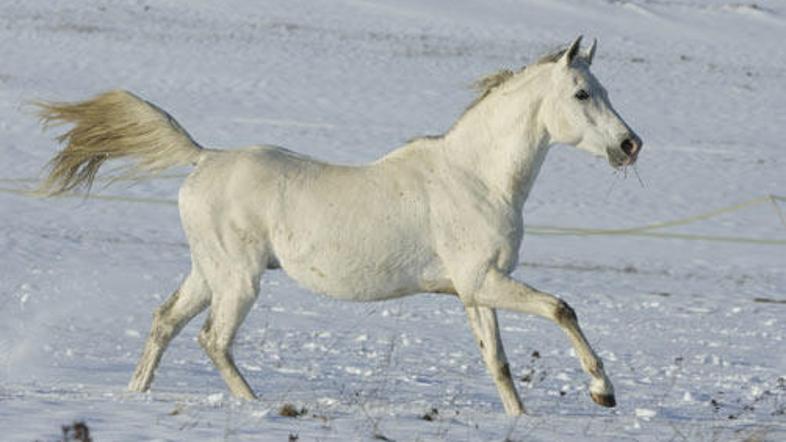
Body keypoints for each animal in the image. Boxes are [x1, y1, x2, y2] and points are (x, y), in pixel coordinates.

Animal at [36, 37, 636, 414]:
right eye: (582, 93)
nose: (631, 145)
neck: (474, 177)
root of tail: (203, 158)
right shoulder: (485, 281)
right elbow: (561, 308)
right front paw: (602, 392)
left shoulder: (474, 291)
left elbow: (499, 365)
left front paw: (521, 419)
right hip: (239, 280)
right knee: (214, 339)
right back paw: (257, 406)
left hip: (208, 272)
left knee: (166, 323)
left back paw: (136, 397)